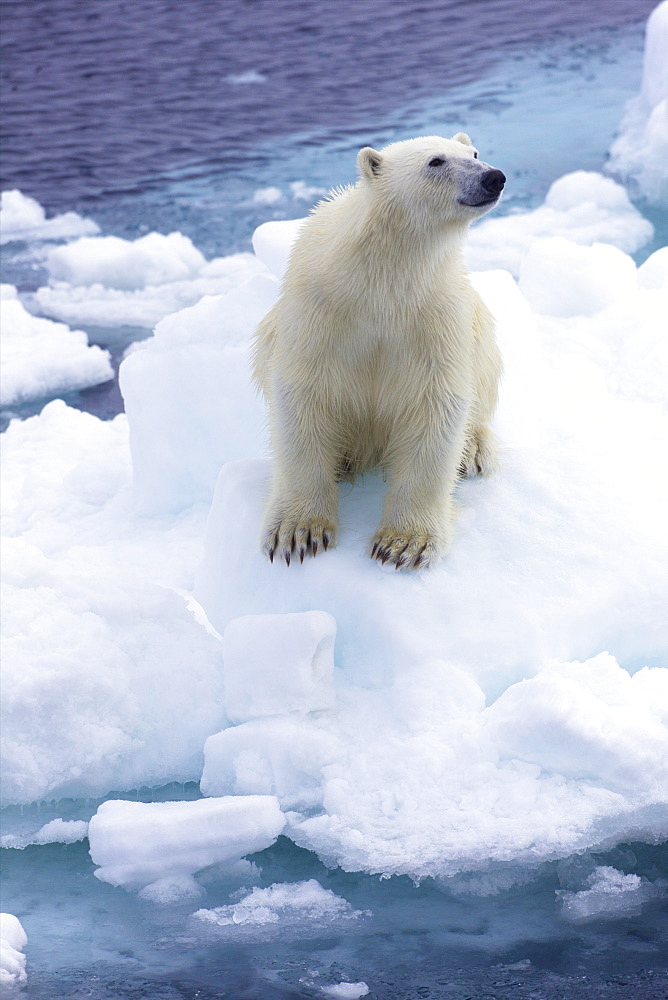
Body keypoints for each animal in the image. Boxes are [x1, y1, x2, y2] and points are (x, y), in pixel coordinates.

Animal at [253, 134, 504, 572]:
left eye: (474, 154)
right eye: (435, 161)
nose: (494, 177)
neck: (381, 284)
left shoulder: (435, 317)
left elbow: (436, 407)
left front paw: (404, 543)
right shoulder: (317, 312)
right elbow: (302, 397)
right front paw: (298, 532)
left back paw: (472, 449)